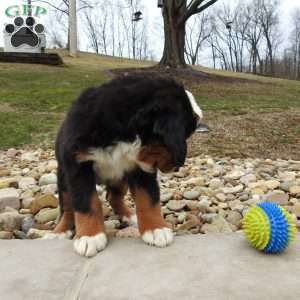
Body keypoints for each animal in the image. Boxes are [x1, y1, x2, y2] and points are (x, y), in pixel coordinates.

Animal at [43, 74, 203, 256]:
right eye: (186, 132)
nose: (177, 166)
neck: (122, 134)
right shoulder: (78, 166)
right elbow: (86, 202)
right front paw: (90, 236)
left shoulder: (140, 169)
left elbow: (148, 198)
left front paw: (156, 229)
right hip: (63, 178)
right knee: (67, 207)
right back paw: (60, 231)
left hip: (120, 179)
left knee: (113, 197)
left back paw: (130, 215)